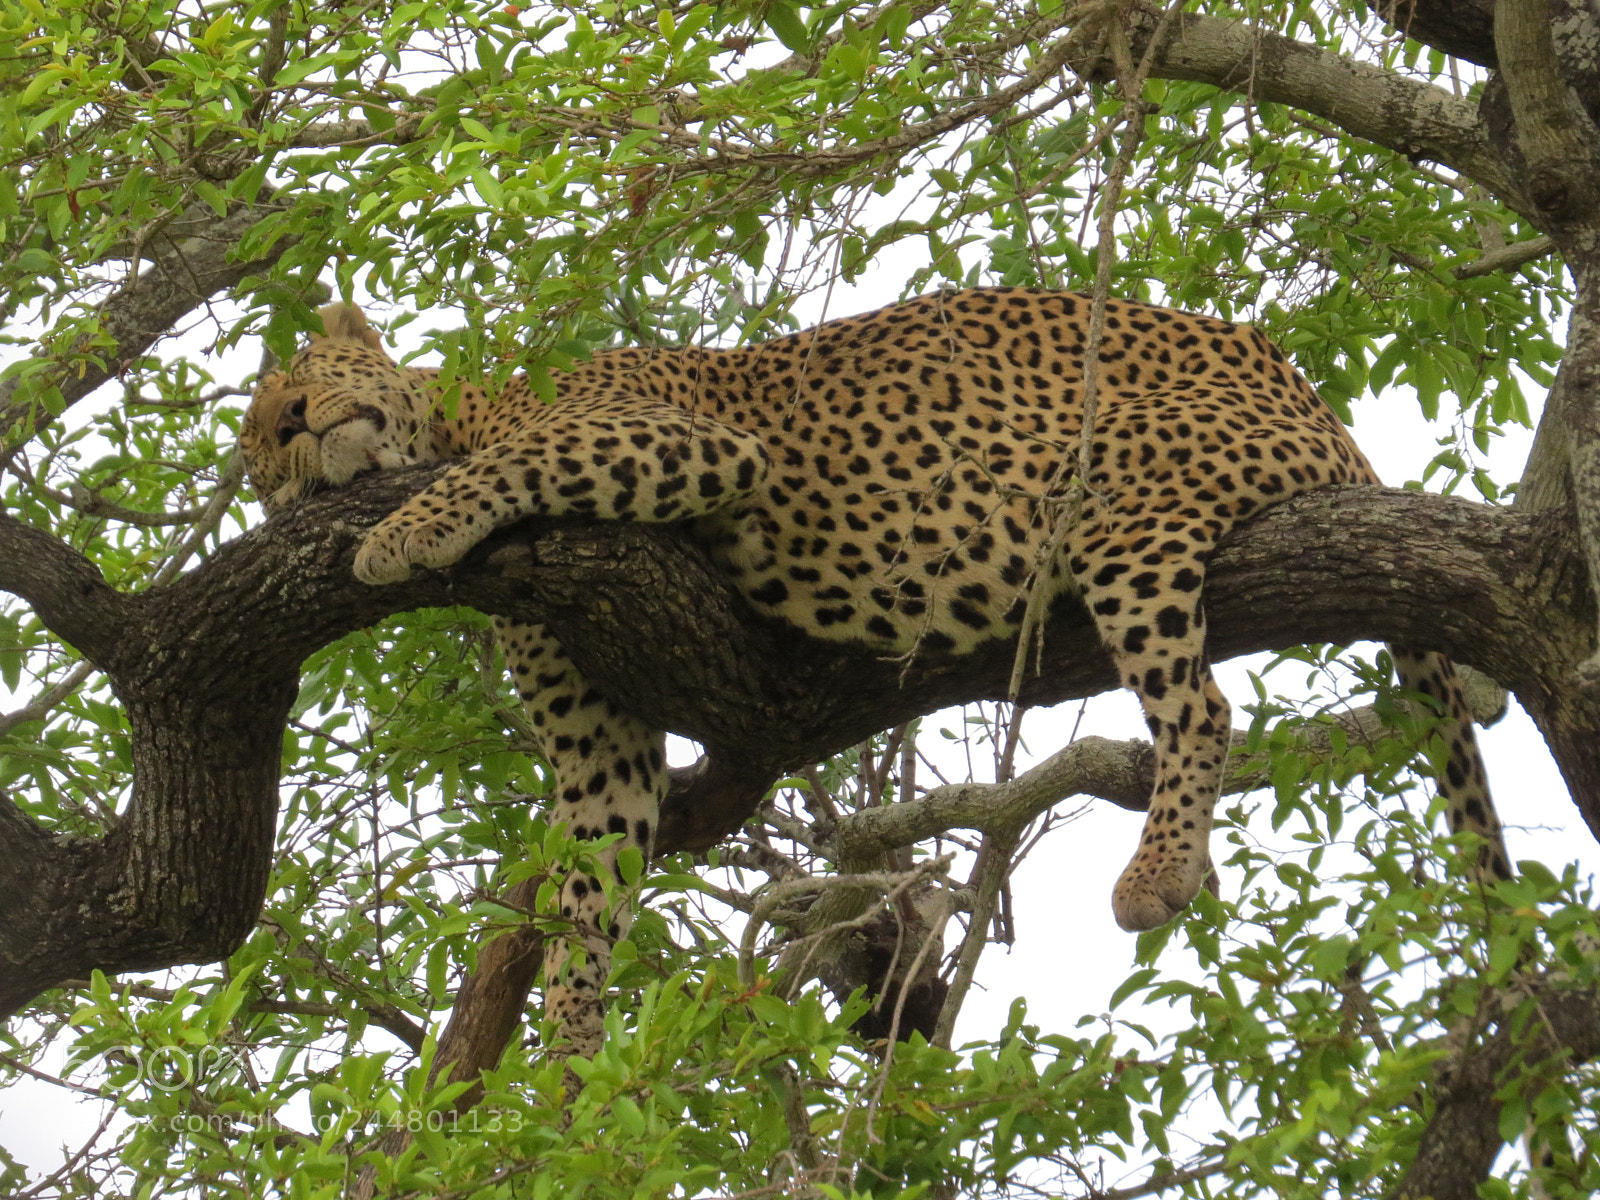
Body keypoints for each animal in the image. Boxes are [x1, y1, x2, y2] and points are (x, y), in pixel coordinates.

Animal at [240, 287, 1511, 1059]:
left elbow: (505, 465)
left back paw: (1156, 875)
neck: (457, 406)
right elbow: (585, 896)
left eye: (297, 385)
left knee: (1200, 703)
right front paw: (570, 1063)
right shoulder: (600, 737)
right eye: (264, 452)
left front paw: (395, 533)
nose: (298, 429)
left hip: (1122, 503)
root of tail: (1319, 407)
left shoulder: (669, 437)